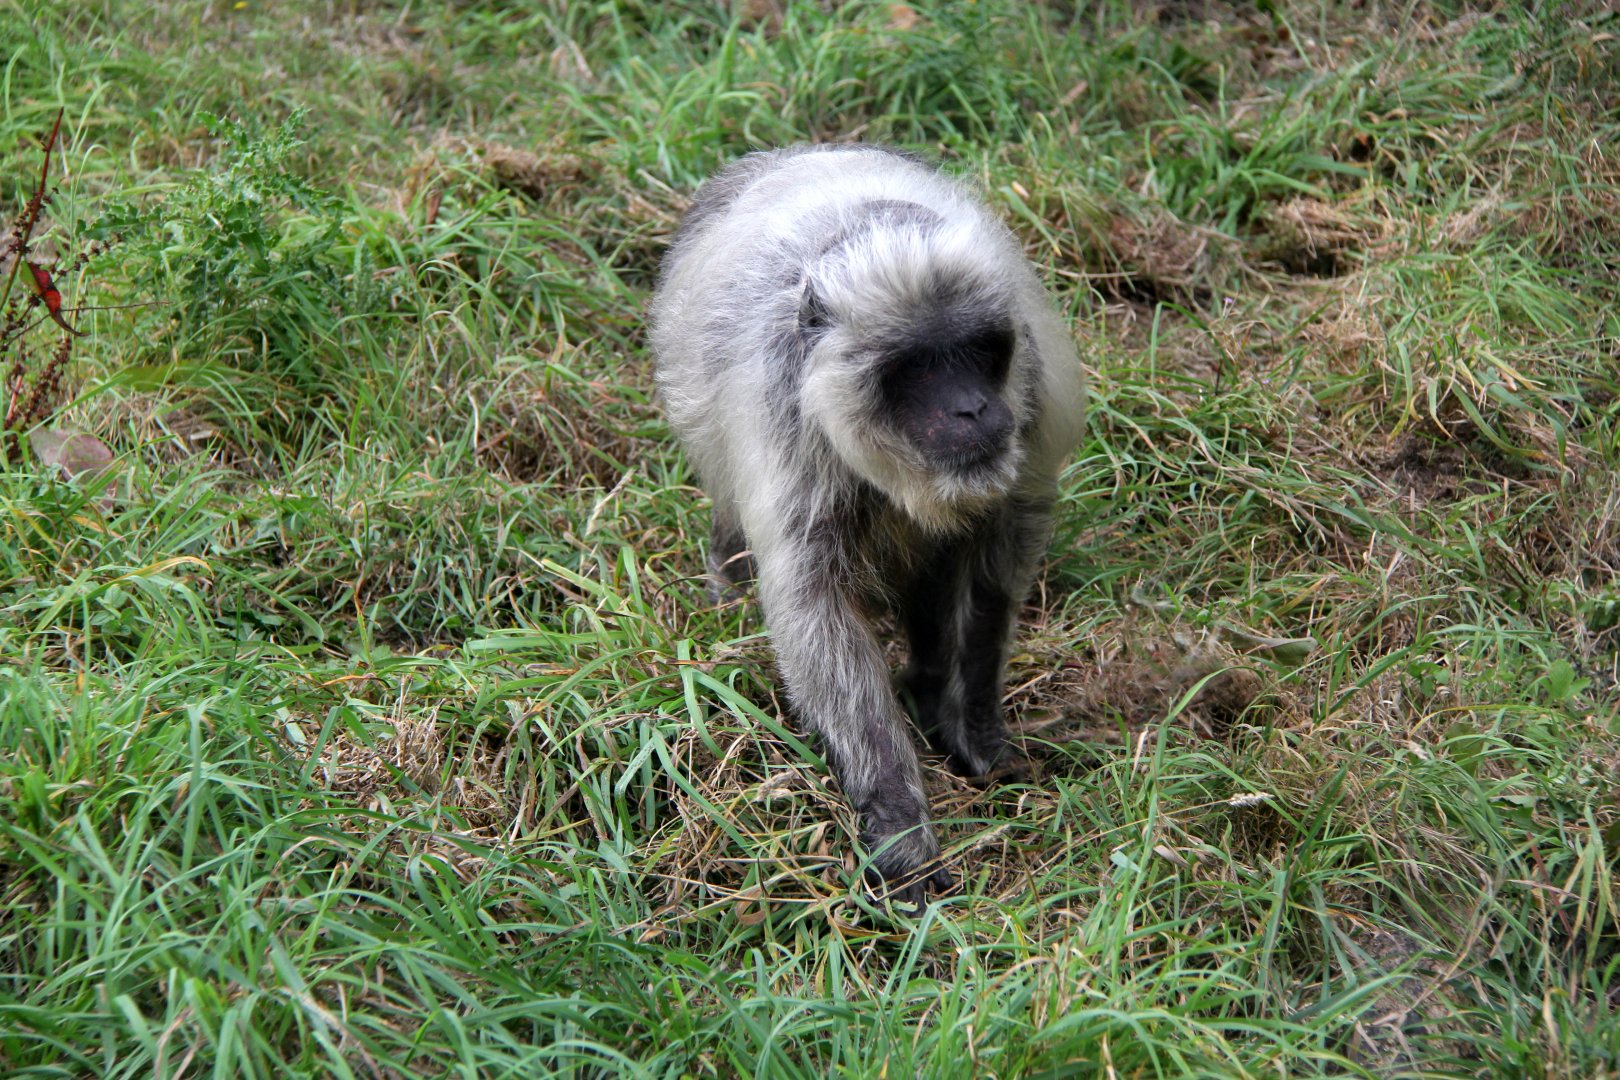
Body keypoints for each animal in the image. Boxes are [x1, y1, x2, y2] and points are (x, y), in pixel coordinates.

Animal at [649, 145, 1086, 906]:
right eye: (917, 368)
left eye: (980, 351)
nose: (973, 408)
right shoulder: (788, 422)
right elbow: (817, 616)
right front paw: (899, 822)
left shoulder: (1027, 402)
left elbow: (991, 582)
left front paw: (970, 727)